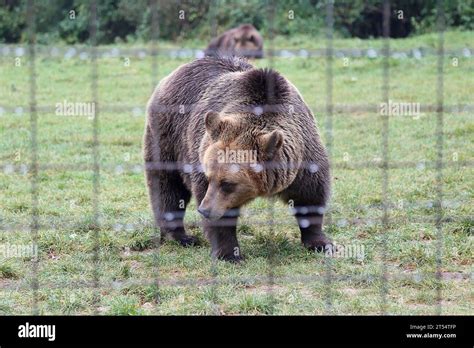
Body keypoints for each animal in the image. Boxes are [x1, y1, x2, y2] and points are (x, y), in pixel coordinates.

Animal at [143, 55, 332, 260]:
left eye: (227, 183)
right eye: (209, 177)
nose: (204, 210)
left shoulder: (303, 158)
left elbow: (310, 196)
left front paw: (320, 242)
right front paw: (229, 253)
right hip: (169, 137)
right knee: (168, 186)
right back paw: (181, 236)